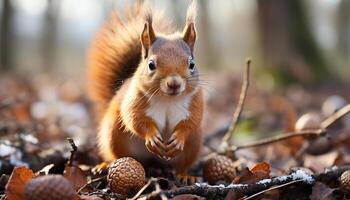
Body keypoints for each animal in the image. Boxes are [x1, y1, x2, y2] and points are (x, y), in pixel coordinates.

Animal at [87, 1, 205, 177]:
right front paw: (152, 136)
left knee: (182, 165)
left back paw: (184, 175)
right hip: (113, 134)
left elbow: (192, 122)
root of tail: (154, 162)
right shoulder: (135, 100)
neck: (167, 100)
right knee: (116, 155)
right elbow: (135, 118)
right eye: (151, 64)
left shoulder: (196, 102)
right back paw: (105, 165)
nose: (174, 84)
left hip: (194, 144)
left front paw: (179, 137)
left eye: (191, 64)